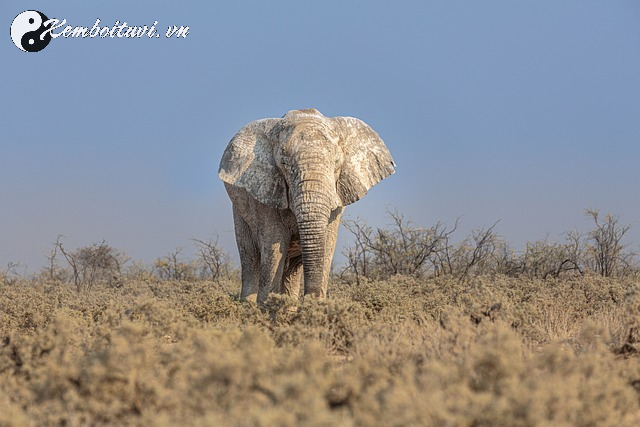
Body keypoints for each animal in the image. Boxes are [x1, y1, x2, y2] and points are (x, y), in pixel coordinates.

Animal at [218, 108, 392, 306]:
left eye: (336, 162)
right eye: (283, 163)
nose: (310, 300)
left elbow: (327, 245)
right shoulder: (265, 192)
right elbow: (273, 246)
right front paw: (266, 308)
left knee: (292, 268)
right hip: (239, 212)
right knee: (251, 257)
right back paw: (248, 305)